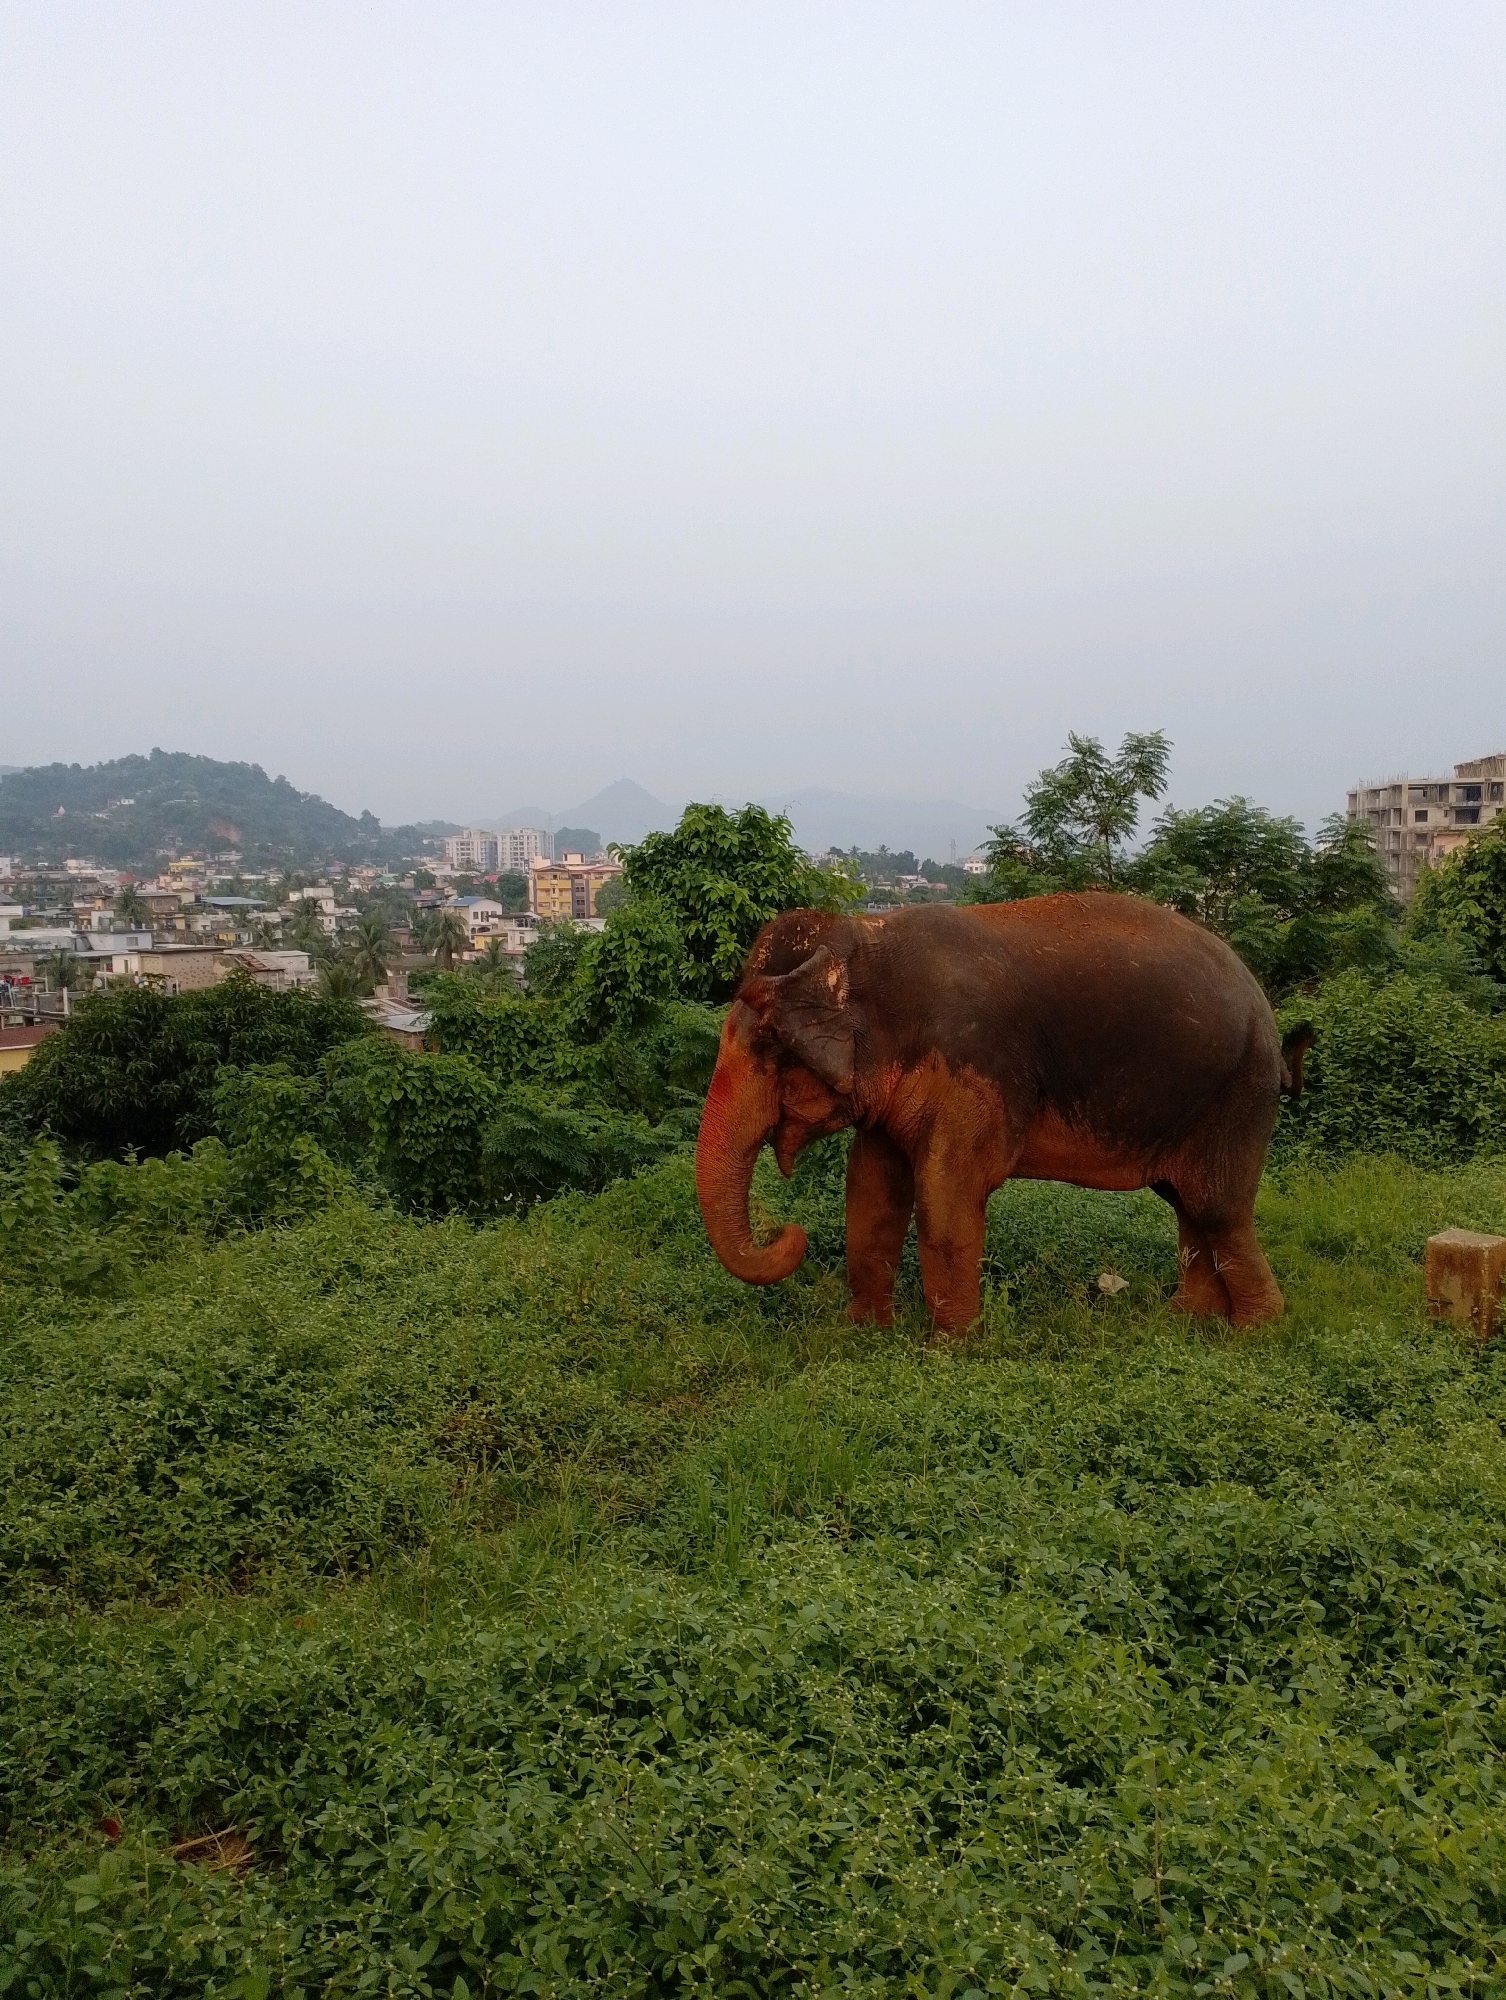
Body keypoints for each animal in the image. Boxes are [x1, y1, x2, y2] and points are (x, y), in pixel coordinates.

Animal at [694, 894, 1311, 1332]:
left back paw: (1252, 1332)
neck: (867, 939)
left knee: (1215, 1208)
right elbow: (870, 1190)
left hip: (1238, 1094)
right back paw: (1186, 1321)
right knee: (1186, 1204)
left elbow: (947, 1195)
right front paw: (865, 1333)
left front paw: (950, 1348)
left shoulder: (974, 1065)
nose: (786, 1231)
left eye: (771, 1048)